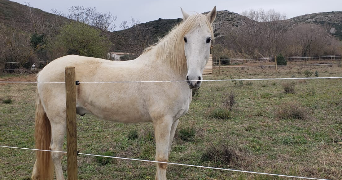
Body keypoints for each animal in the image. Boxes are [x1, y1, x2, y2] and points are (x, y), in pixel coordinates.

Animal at [32, 6, 216, 180]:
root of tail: (42, 72)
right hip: (58, 120)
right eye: (185, 38)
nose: (193, 79)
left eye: (208, 39)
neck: (167, 71)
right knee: (55, 153)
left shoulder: (174, 121)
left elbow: (166, 157)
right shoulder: (162, 121)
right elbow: (161, 160)